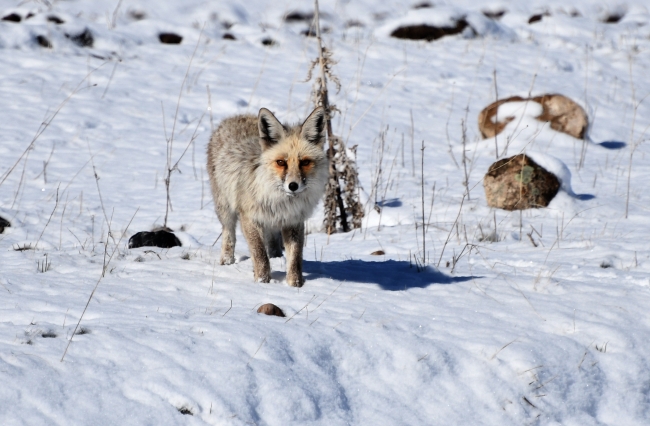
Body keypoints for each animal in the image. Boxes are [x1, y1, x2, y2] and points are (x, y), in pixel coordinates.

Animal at [206, 106, 330, 286]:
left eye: (305, 162)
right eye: (281, 162)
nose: (293, 186)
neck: (280, 200)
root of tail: (236, 116)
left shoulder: (293, 221)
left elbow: (295, 258)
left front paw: (295, 284)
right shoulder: (249, 217)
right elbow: (259, 254)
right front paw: (262, 281)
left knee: (272, 241)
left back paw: (276, 256)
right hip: (225, 208)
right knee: (229, 234)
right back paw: (227, 261)